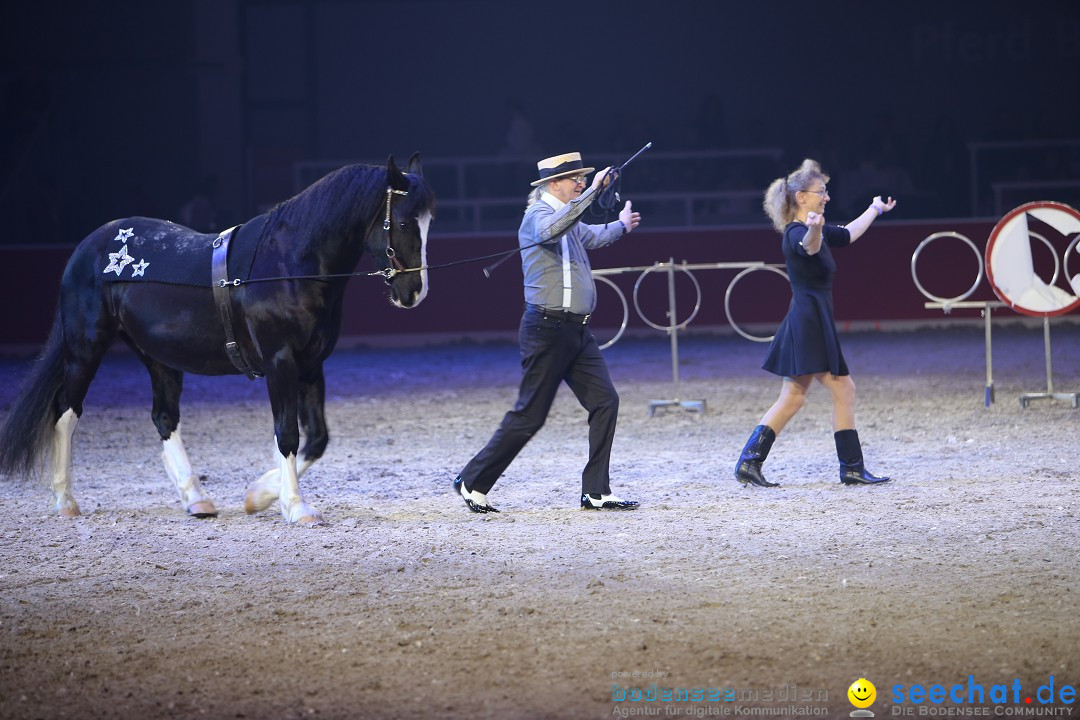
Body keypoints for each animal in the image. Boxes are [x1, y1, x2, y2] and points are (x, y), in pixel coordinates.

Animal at [3, 155, 438, 524]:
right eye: (403, 223)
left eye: (430, 221)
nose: (414, 292)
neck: (288, 264)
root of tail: (87, 247)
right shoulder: (280, 361)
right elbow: (288, 433)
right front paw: (296, 507)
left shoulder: (311, 364)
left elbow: (316, 438)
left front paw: (260, 495)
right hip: (85, 348)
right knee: (65, 412)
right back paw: (65, 501)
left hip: (159, 357)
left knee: (164, 417)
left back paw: (196, 499)